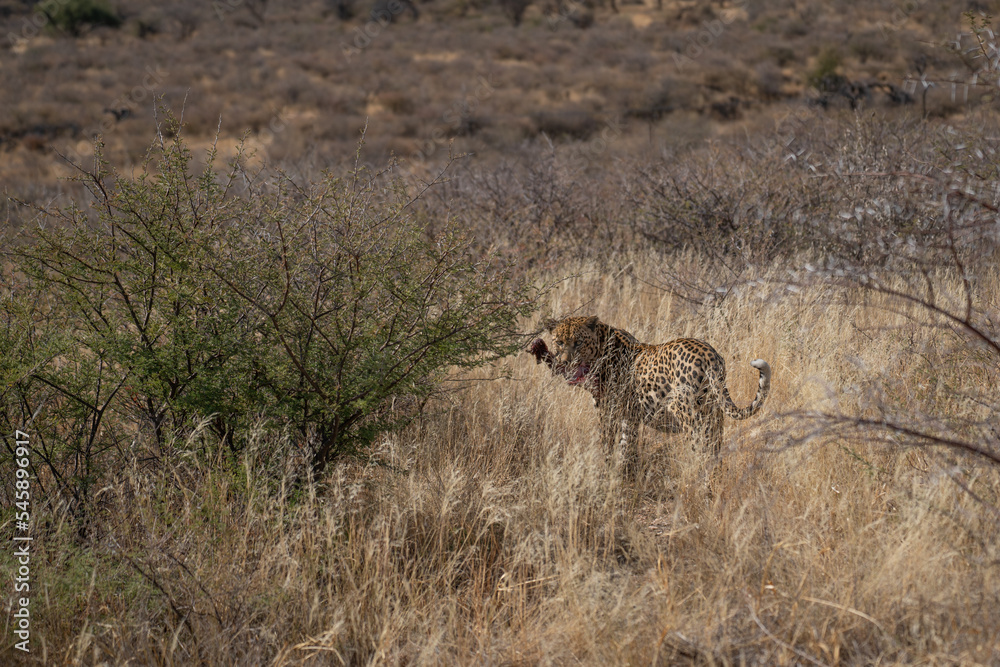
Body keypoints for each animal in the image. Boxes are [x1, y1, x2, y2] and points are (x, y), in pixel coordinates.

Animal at [527, 315, 771, 472]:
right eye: (559, 342)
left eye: (578, 342)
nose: (566, 363)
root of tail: (709, 354)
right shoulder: (628, 417)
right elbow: (626, 446)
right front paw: (623, 476)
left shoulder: (608, 411)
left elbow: (607, 445)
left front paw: (605, 473)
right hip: (714, 414)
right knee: (715, 452)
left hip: (689, 414)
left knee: (703, 452)